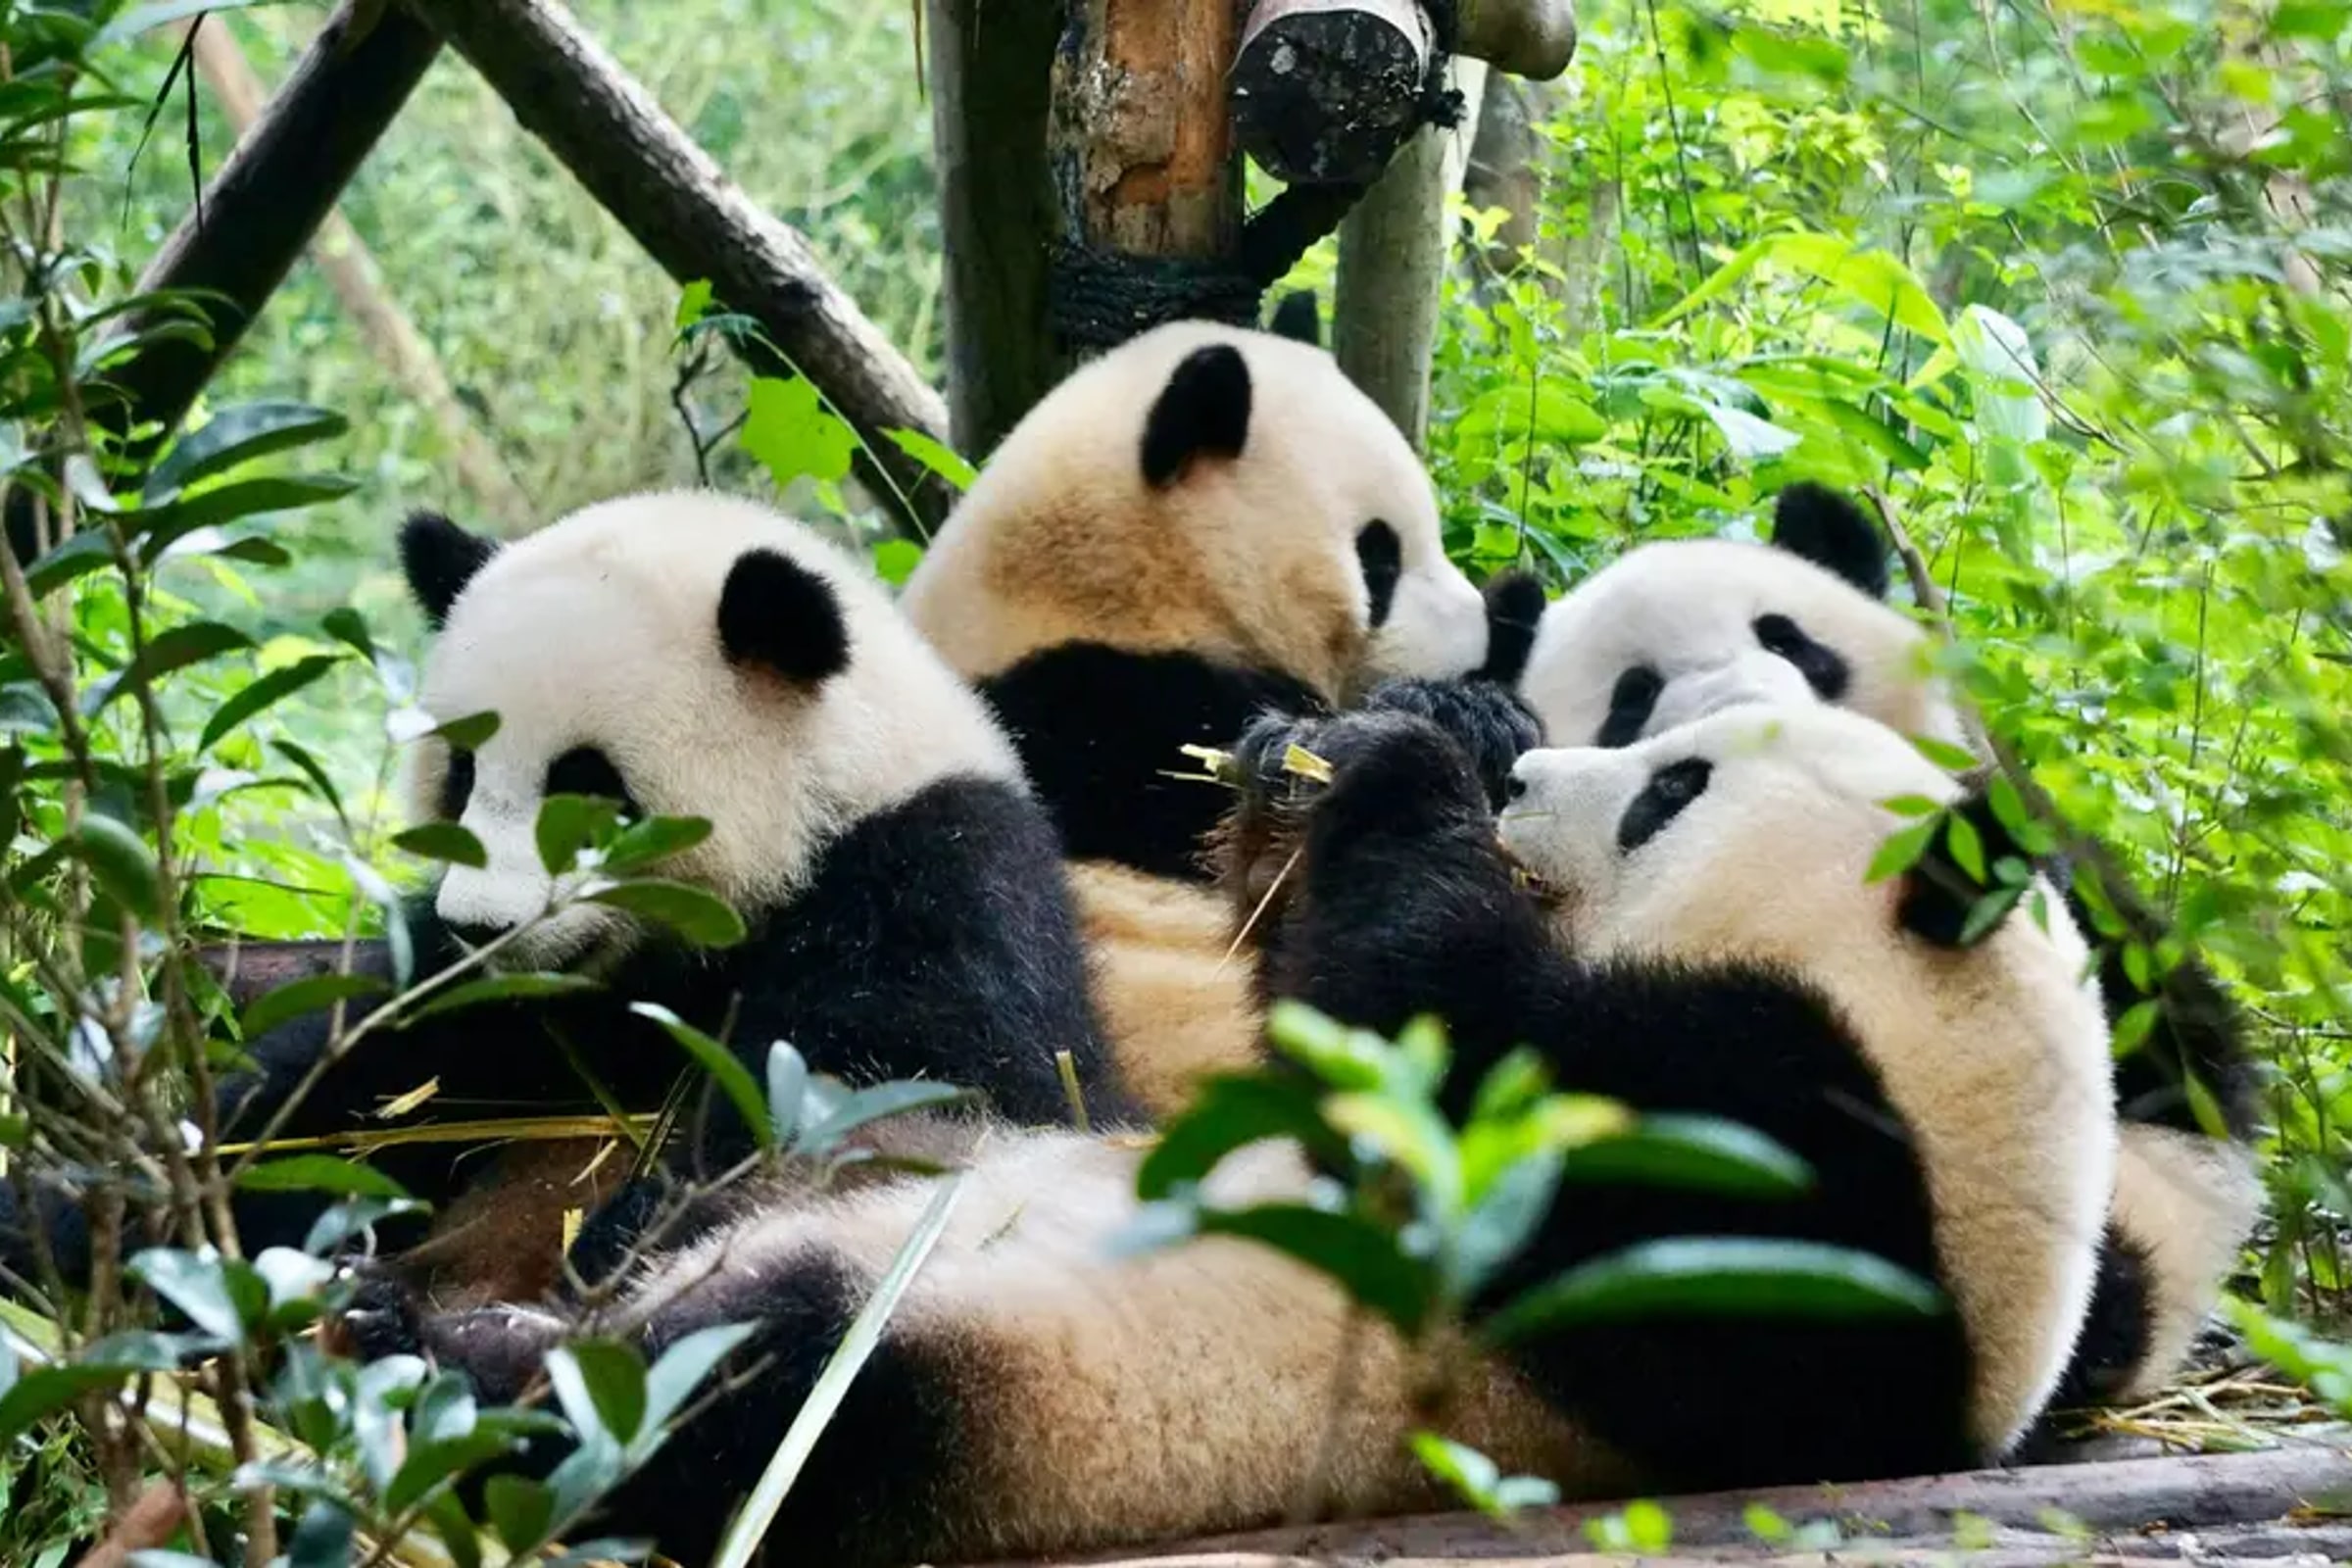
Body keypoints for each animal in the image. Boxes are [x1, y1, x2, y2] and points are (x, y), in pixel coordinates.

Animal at [0, 491, 1127, 1305]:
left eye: (586, 789)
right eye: (460, 775)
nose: (478, 930)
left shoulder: (932, 882)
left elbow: (908, 1090)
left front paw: (615, 1246)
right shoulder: (479, 1011)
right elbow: (338, 1093)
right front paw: (76, 1220)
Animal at [334, 697, 2113, 1567]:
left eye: (1673, 787)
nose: (1530, 771)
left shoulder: (1815, 1205)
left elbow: (1468, 1074)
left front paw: (1395, 773)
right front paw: (1305, 767)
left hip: (970, 1388)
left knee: (741, 1398)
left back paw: (448, 1360)